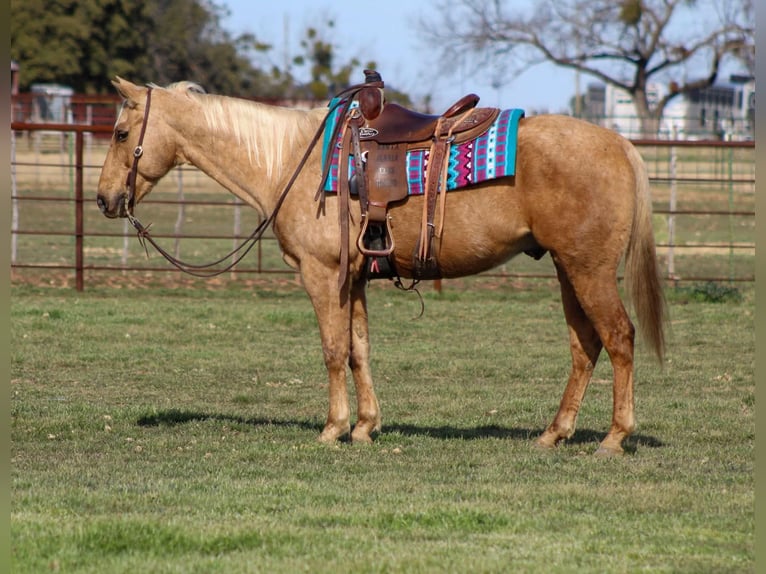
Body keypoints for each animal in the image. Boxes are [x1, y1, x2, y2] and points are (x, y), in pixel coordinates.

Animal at [96, 77, 666, 456]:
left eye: (122, 133)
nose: (104, 199)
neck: (290, 161)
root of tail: (619, 144)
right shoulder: (353, 279)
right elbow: (359, 350)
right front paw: (366, 426)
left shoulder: (321, 274)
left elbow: (333, 351)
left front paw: (333, 428)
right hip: (569, 270)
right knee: (584, 345)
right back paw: (553, 432)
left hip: (588, 270)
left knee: (619, 337)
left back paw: (614, 438)